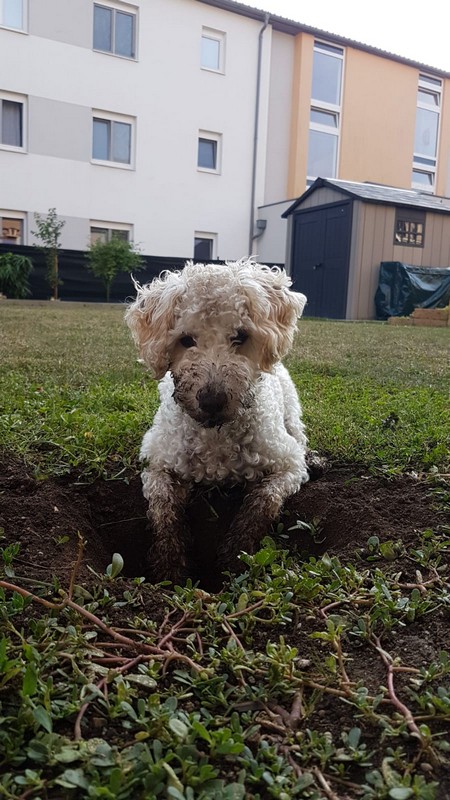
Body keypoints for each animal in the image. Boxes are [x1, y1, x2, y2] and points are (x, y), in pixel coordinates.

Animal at [125, 259, 308, 583]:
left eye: (241, 336)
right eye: (186, 340)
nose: (211, 401)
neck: (215, 437)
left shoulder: (289, 462)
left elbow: (263, 502)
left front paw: (235, 556)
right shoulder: (157, 461)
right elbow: (163, 509)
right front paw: (169, 565)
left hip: (292, 414)